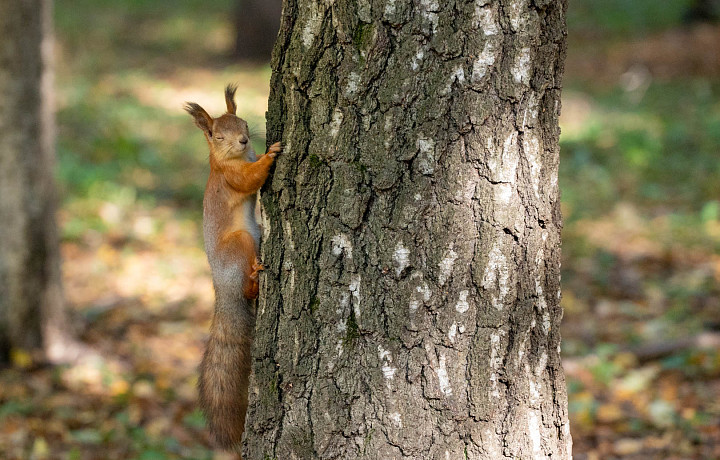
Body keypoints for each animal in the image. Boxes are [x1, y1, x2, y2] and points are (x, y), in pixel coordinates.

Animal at [184, 85, 280, 450]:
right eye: (217, 135)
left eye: (244, 123)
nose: (243, 140)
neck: (229, 159)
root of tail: (222, 288)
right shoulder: (233, 176)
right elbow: (251, 179)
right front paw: (272, 154)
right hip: (240, 242)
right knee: (246, 285)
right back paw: (254, 280)